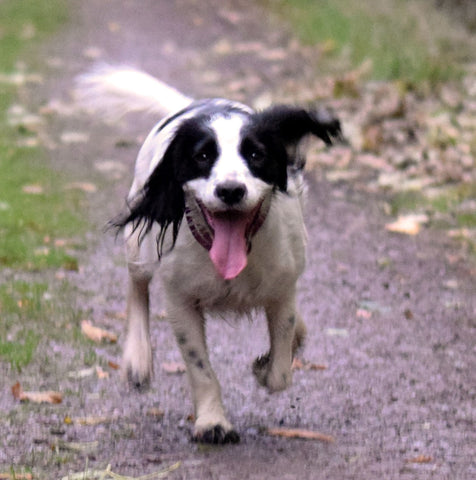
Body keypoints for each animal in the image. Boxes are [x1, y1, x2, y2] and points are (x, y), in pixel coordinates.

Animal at [76, 65, 340, 444]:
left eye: (256, 154)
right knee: (137, 286)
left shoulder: (282, 288)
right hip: (138, 241)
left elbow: (281, 367)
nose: (230, 190)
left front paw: (266, 365)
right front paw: (213, 422)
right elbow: (200, 367)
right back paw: (137, 359)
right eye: (202, 156)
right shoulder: (180, 300)